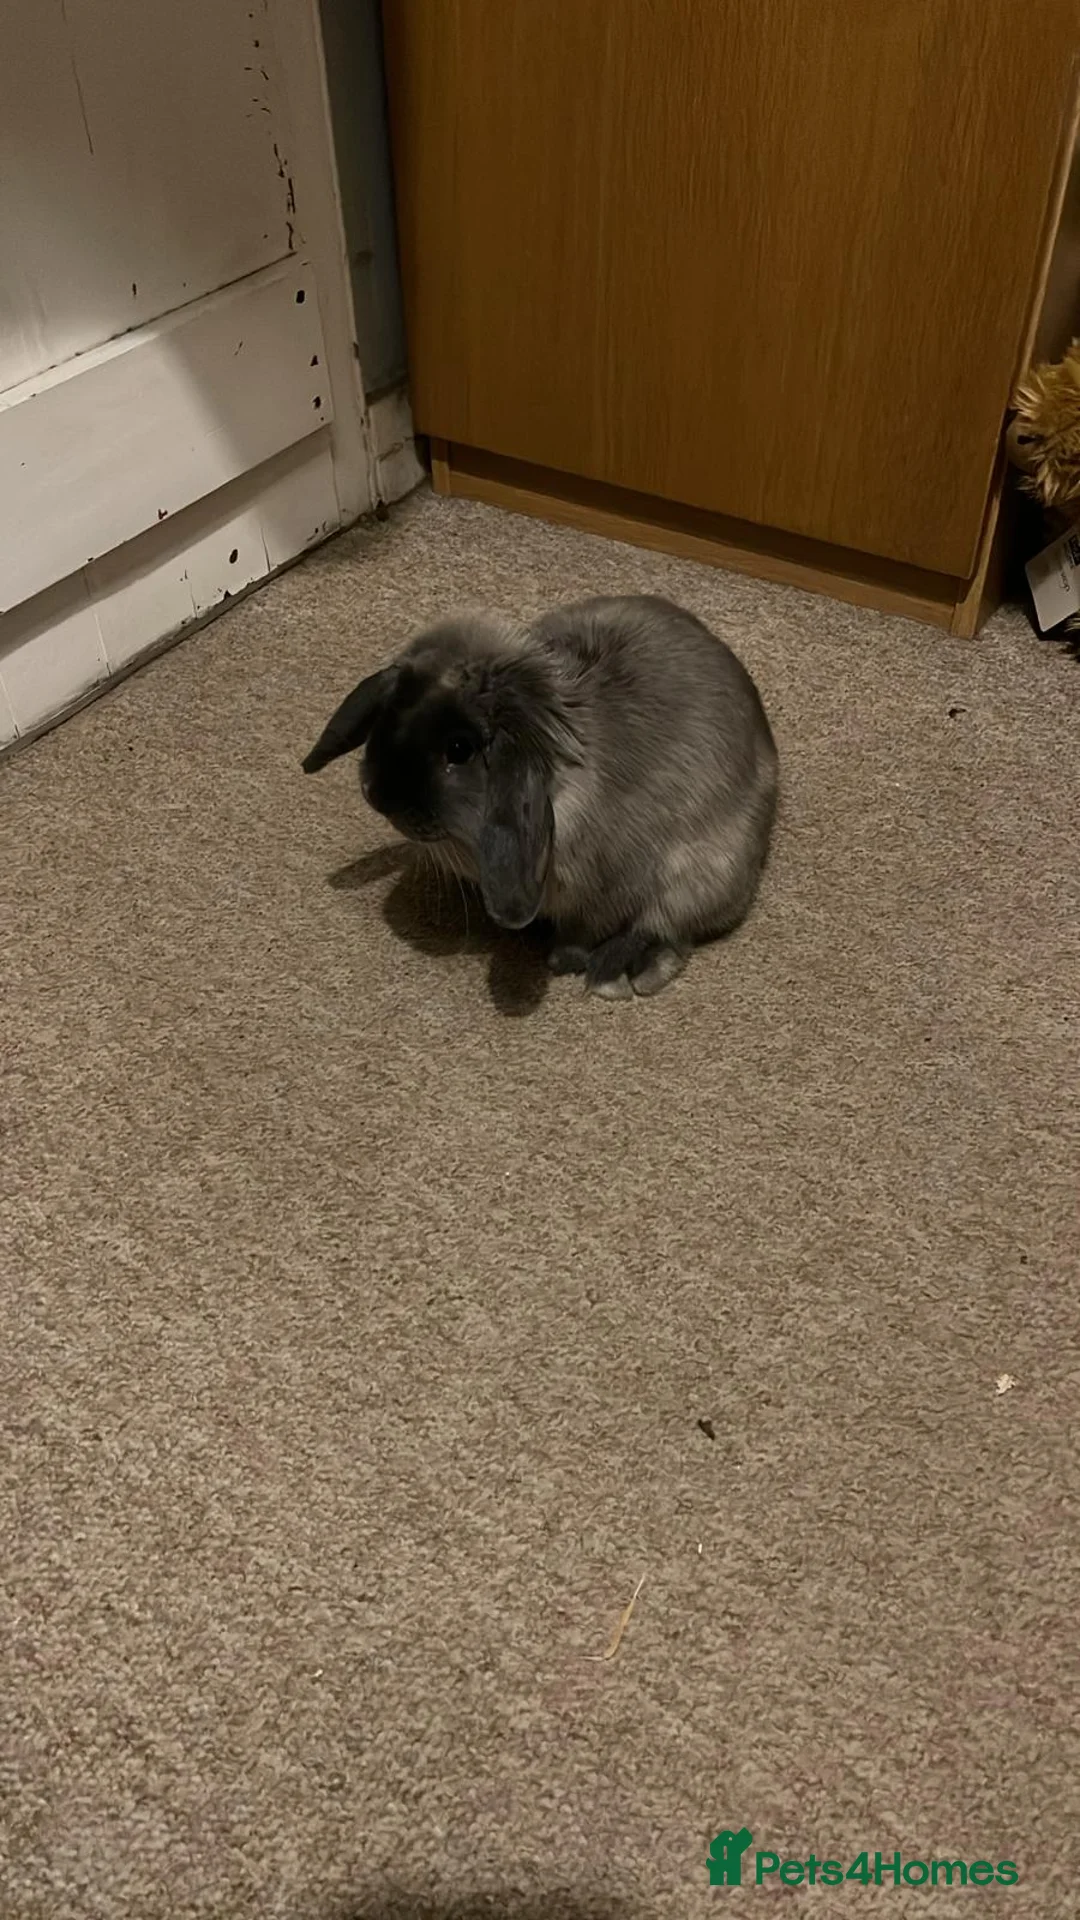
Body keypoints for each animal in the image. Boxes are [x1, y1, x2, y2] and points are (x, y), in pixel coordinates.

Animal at [303, 595, 778, 997]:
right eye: (390, 710)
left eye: (459, 749)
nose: (379, 797)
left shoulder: (605, 893)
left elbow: (589, 930)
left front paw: (562, 960)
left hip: (706, 870)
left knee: (671, 929)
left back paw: (620, 973)